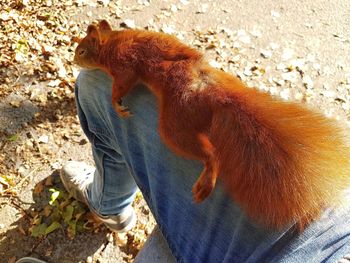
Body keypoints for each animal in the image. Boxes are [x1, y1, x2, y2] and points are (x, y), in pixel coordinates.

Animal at [74, 20, 350, 231]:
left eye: (82, 51)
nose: (74, 60)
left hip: (174, 126)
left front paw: (117, 105)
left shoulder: (124, 65)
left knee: (212, 154)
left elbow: (121, 86)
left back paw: (207, 178)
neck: (111, 41)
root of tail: (214, 94)